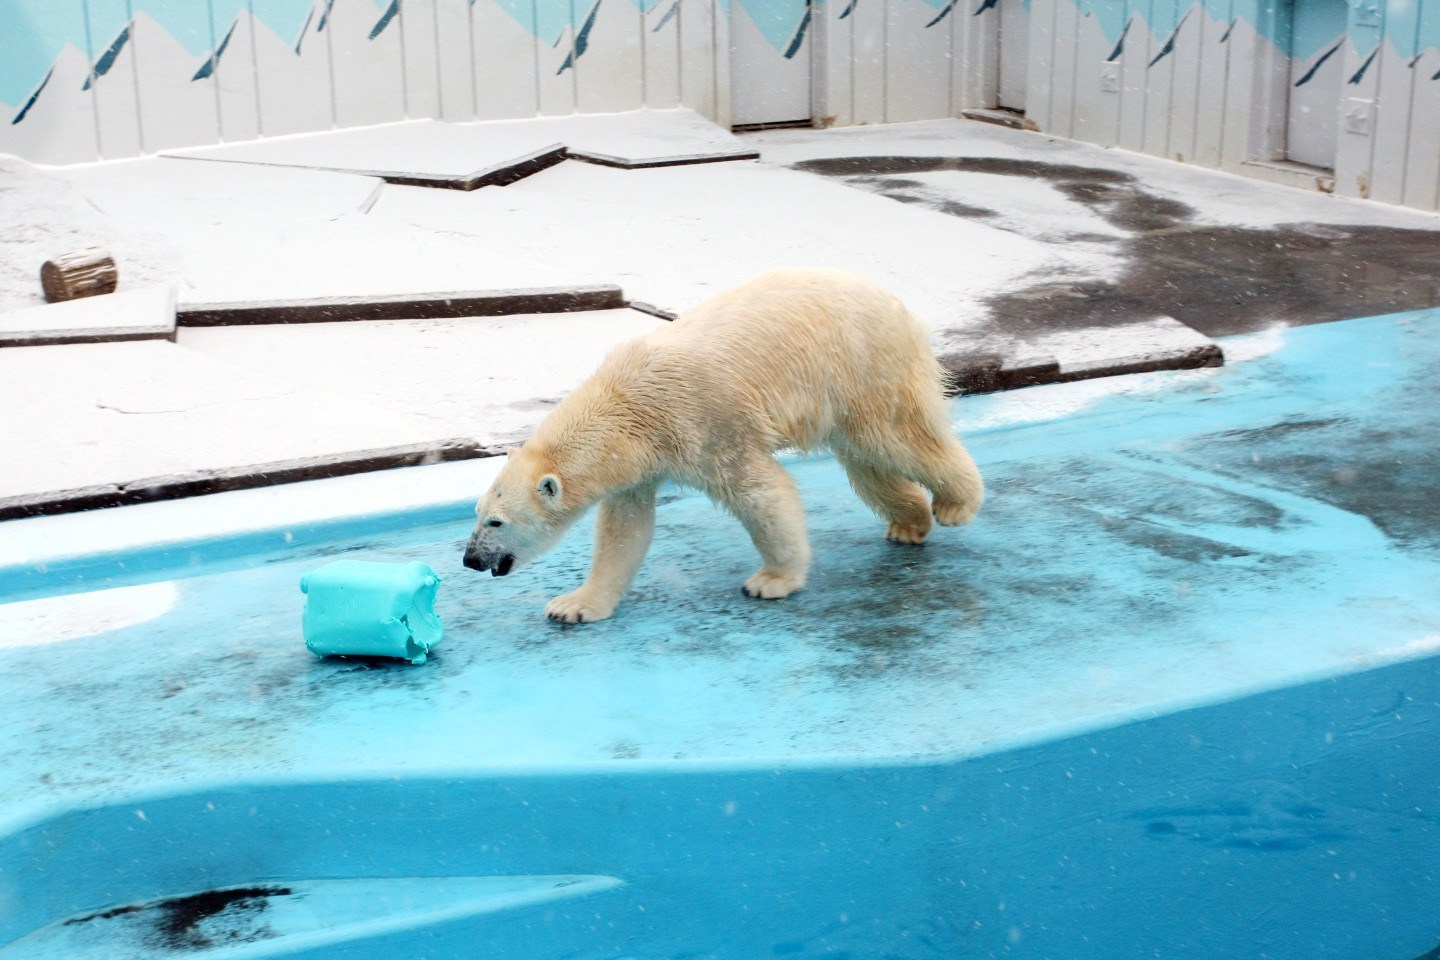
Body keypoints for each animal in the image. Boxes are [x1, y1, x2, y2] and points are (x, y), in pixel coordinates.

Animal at [466, 269, 984, 624]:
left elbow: (760, 492)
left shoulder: (705, 424)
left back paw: (956, 504)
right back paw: (909, 523)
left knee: (897, 438)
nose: (471, 559)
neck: (626, 404)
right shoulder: (639, 462)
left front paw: (771, 581)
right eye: (478, 513)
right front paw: (573, 605)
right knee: (866, 461)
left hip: (863, 368)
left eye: (497, 521)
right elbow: (624, 530)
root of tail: (896, 303)